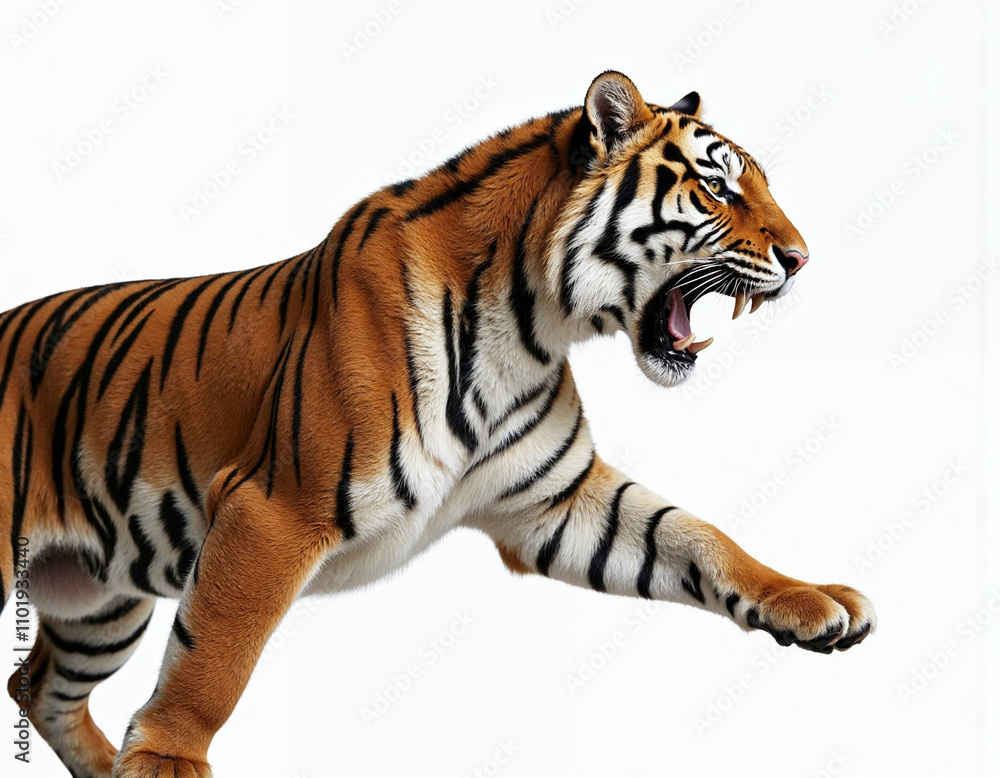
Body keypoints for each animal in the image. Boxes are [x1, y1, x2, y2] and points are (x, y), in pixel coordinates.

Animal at [0, 71, 875, 777]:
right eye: (718, 189)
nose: (801, 259)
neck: (532, 323)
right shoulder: (273, 512)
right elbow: (216, 654)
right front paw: (168, 760)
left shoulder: (554, 506)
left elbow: (694, 535)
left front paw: (811, 600)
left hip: (103, 604)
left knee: (36, 684)